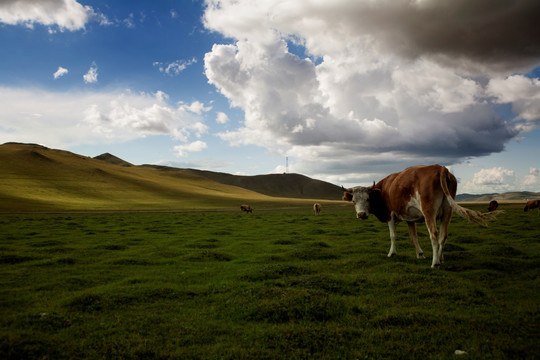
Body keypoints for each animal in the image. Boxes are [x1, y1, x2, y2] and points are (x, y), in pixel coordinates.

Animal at [342, 165, 498, 268]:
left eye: (368, 199)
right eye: (353, 201)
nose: (361, 214)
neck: (384, 190)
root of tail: (440, 168)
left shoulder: (390, 216)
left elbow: (393, 236)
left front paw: (392, 253)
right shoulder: (410, 218)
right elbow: (414, 237)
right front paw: (420, 254)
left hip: (429, 212)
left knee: (434, 235)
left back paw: (435, 263)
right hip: (448, 212)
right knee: (443, 236)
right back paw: (440, 258)